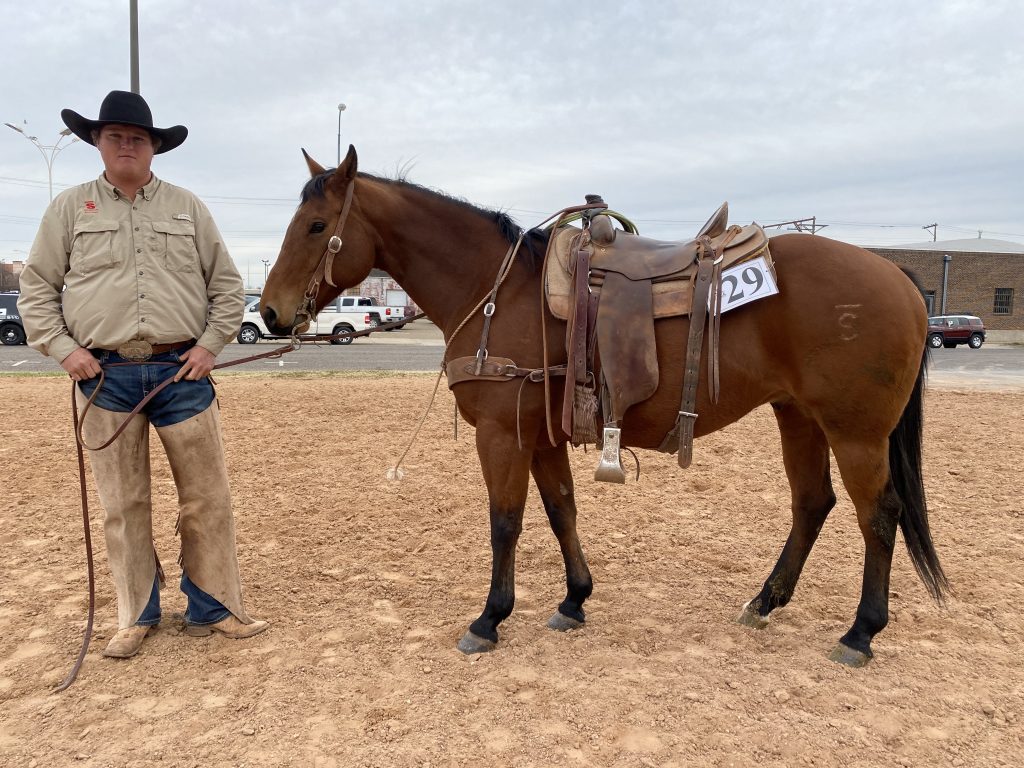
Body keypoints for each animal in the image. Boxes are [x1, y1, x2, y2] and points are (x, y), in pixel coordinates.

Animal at [261, 146, 947, 667]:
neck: (500, 291)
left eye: (317, 226)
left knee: (879, 516)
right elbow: (560, 509)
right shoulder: (541, 434)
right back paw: (764, 602)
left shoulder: (503, 434)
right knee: (813, 504)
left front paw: (489, 618)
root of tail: (899, 278)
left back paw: (860, 632)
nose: (268, 313)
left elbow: (505, 522)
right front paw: (574, 600)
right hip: (798, 416)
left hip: (855, 432)